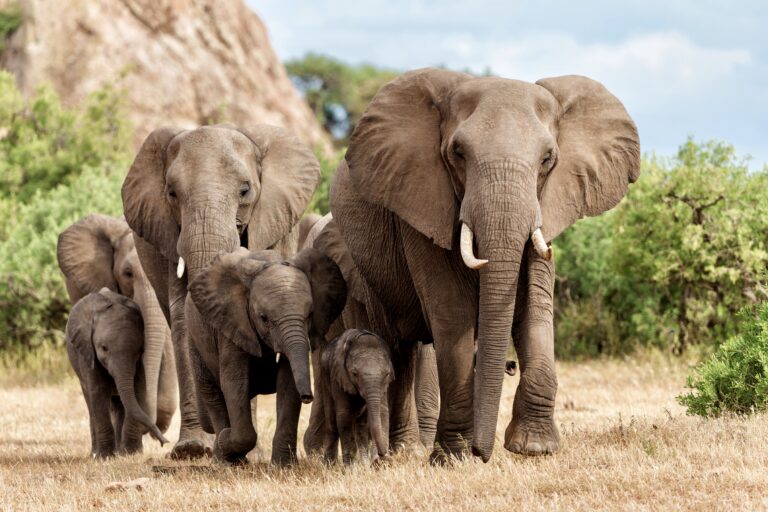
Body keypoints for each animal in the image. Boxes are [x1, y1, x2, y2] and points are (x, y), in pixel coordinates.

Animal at [65, 288, 169, 458]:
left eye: (139, 350)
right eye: (104, 348)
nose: (164, 442)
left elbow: (137, 390)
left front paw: (131, 454)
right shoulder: (86, 351)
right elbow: (98, 392)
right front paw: (105, 457)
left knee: (119, 405)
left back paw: (120, 452)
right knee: (91, 404)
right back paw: (95, 453)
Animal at [186, 247, 346, 464]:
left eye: (310, 315)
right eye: (263, 318)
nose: (308, 397)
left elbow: (288, 382)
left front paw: (284, 465)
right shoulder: (232, 322)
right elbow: (234, 382)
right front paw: (226, 440)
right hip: (195, 339)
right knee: (213, 393)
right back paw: (225, 456)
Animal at [319, 329, 394, 465]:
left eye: (387, 374)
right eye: (354, 373)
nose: (384, 455)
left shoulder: (384, 386)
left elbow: (382, 411)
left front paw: (376, 464)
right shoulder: (338, 377)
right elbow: (344, 416)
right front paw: (350, 468)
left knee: (361, 425)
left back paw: (364, 463)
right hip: (324, 376)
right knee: (332, 423)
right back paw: (329, 466)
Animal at [329, 68, 640, 462]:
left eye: (547, 158)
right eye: (458, 153)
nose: (484, 451)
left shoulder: (547, 207)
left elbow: (535, 308)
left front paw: (533, 447)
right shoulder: (422, 200)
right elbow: (452, 312)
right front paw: (454, 457)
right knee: (398, 348)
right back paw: (401, 453)